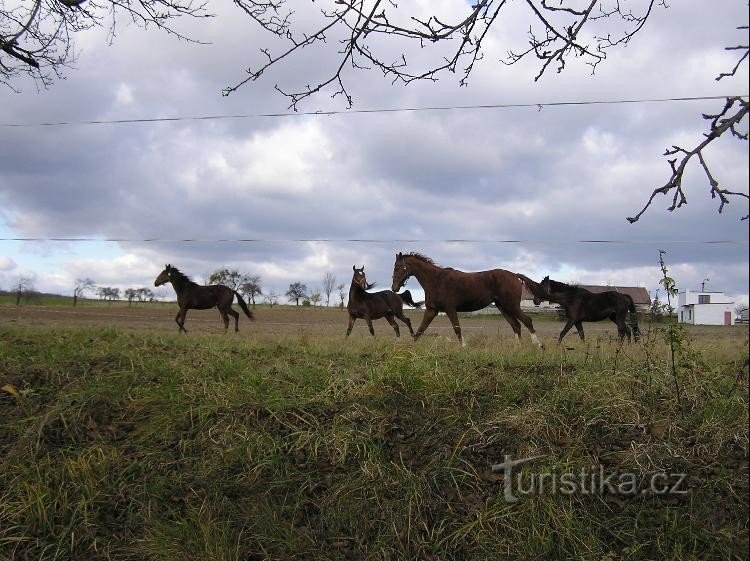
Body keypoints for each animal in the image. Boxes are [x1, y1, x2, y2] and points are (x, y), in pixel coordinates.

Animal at [390, 253, 544, 348]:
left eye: (398, 267)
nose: (394, 288)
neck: (436, 280)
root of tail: (514, 275)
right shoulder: (431, 310)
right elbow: (421, 329)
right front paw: (411, 348)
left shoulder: (450, 309)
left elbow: (457, 328)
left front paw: (464, 346)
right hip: (503, 307)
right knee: (516, 325)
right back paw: (518, 348)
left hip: (511, 305)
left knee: (527, 321)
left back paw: (539, 345)